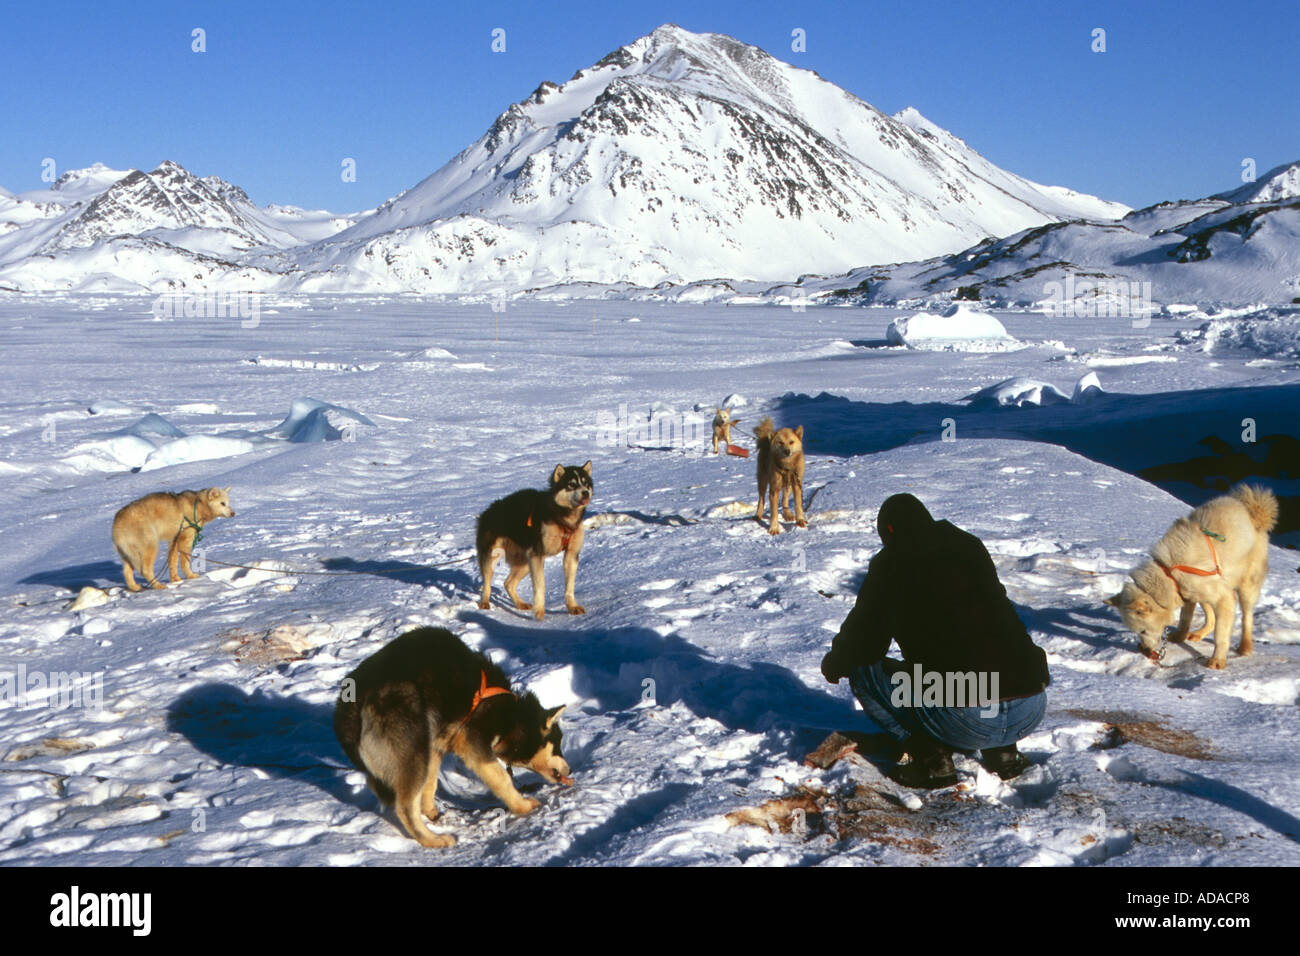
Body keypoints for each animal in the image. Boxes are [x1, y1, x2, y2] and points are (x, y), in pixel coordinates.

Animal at [1107, 481, 1279, 671]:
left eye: (1142, 630)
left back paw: (1245, 647)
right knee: (1210, 617)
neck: (1169, 571)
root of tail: (1253, 513)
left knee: (1246, 617)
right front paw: (1180, 637)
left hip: (1246, 587)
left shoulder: (1223, 598)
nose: (1143, 650)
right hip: (1201, 594)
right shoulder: (1185, 591)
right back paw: (1199, 634)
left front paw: (1217, 660)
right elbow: (1185, 618)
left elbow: (1220, 635)